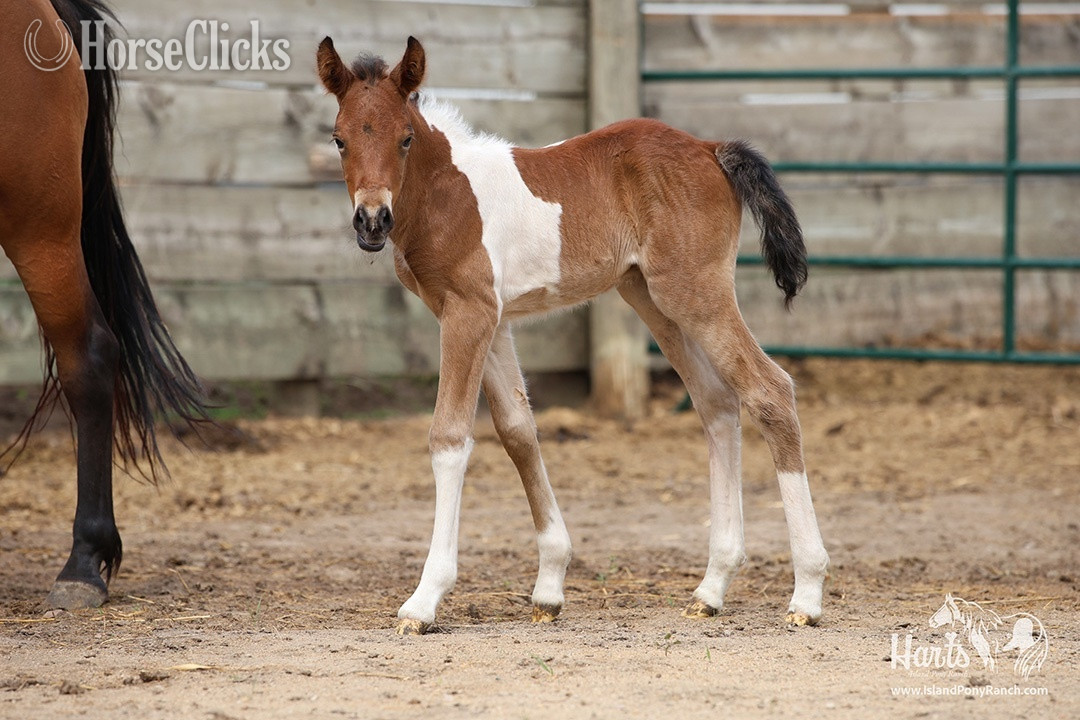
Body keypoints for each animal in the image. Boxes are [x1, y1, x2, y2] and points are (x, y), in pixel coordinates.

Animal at [316, 36, 830, 635]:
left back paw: (806, 593)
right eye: (339, 139)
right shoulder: (493, 320)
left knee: (770, 391)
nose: (372, 221)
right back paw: (711, 587)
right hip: (653, 299)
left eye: (405, 138)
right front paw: (550, 584)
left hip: (695, 293)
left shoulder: (467, 314)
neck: (446, 193)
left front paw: (424, 600)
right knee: (718, 404)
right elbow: (518, 431)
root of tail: (710, 148)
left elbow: (449, 438)